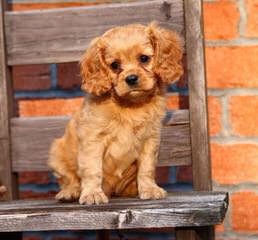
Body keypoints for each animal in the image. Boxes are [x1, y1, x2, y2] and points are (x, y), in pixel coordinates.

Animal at [47, 22, 182, 204]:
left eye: (144, 58)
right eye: (114, 65)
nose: (131, 78)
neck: (130, 105)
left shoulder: (150, 139)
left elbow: (147, 168)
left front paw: (149, 189)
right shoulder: (93, 139)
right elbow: (92, 169)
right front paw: (92, 193)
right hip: (57, 153)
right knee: (69, 179)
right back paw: (70, 192)